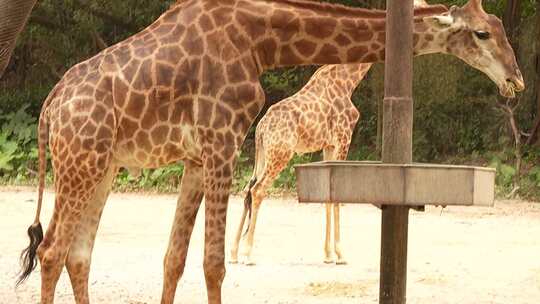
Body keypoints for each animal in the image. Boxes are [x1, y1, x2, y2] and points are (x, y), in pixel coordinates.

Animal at [11, 0, 524, 304]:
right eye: (481, 33)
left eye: (499, 27)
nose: (515, 80)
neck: (263, 40)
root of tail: (50, 108)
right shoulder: (221, 141)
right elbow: (214, 264)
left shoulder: (197, 156)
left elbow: (174, 259)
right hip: (81, 161)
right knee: (53, 250)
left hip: (103, 167)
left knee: (78, 253)